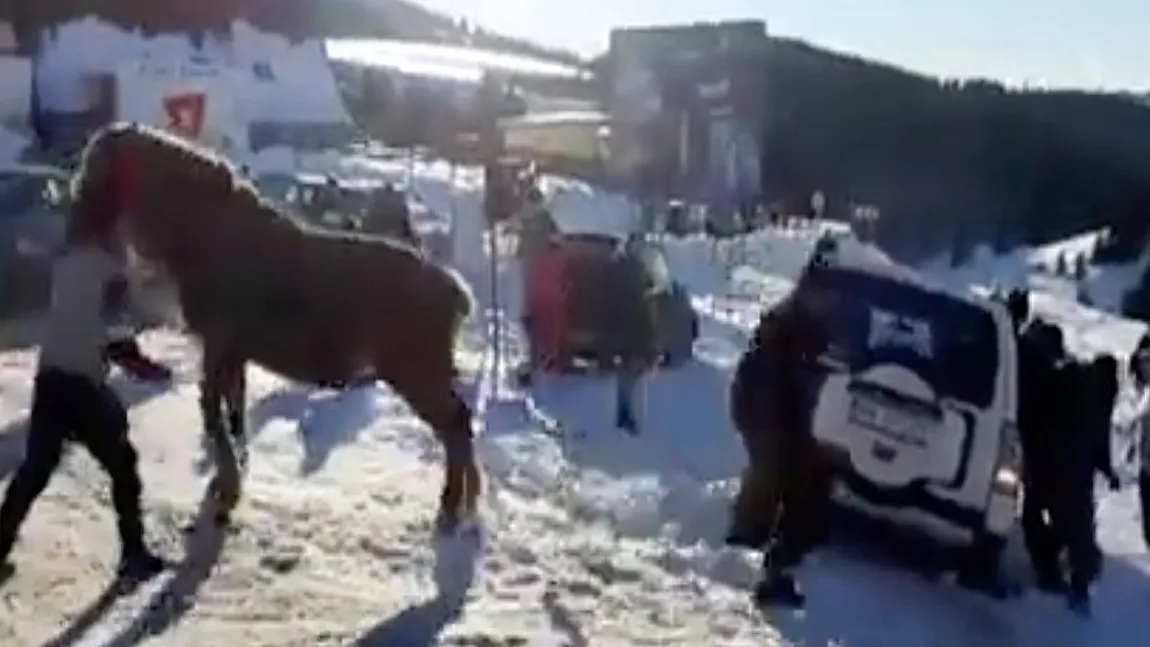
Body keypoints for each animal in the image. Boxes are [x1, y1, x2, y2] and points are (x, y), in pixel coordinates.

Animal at [67, 124, 480, 533]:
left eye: (94, 168)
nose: (77, 226)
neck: (206, 232)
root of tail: (455, 290)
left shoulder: (217, 344)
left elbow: (212, 411)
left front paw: (226, 486)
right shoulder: (233, 350)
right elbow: (233, 409)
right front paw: (232, 473)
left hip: (417, 374)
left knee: (456, 426)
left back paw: (450, 508)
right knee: (460, 425)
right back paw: (468, 503)